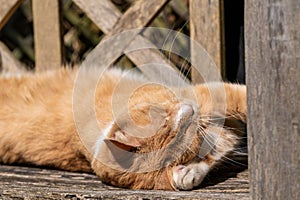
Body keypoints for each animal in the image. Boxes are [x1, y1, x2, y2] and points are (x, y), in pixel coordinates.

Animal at [0, 67, 246, 191]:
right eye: (185, 134)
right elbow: (215, 151)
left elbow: (240, 98)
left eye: (162, 118)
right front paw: (187, 173)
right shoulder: (220, 128)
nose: (189, 110)